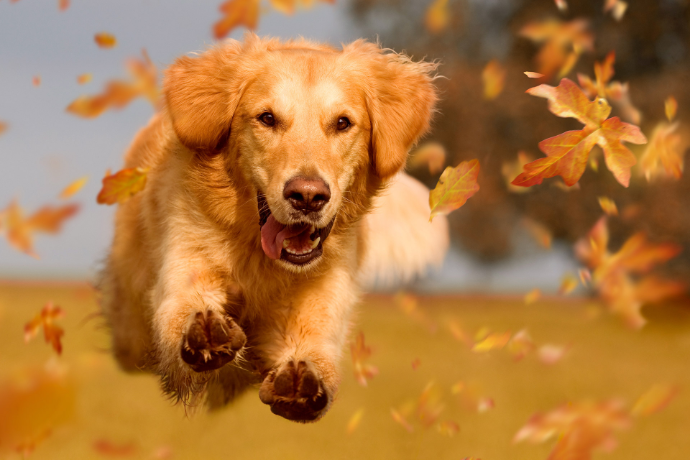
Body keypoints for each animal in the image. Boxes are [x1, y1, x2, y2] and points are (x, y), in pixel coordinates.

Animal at [101, 34, 446, 422]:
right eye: (267, 118)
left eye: (343, 123)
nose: (308, 196)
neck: (262, 265)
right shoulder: (182, 266)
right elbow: (182, 309)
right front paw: (204, 332)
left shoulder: (322, 301)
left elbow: (316, 348)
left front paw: (303, 382)